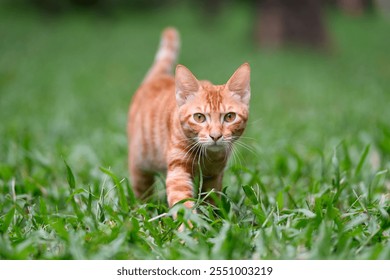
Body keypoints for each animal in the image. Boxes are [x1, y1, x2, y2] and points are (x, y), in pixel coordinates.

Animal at [128, 27, 250, 208]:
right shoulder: (178, 171)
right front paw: (189, 217)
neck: (209, 157)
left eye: (230, 117)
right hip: (140, 166)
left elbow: (211, 201)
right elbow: (182, 203)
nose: (215, 136)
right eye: (199, 117)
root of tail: (158, 77)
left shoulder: (214, 176)